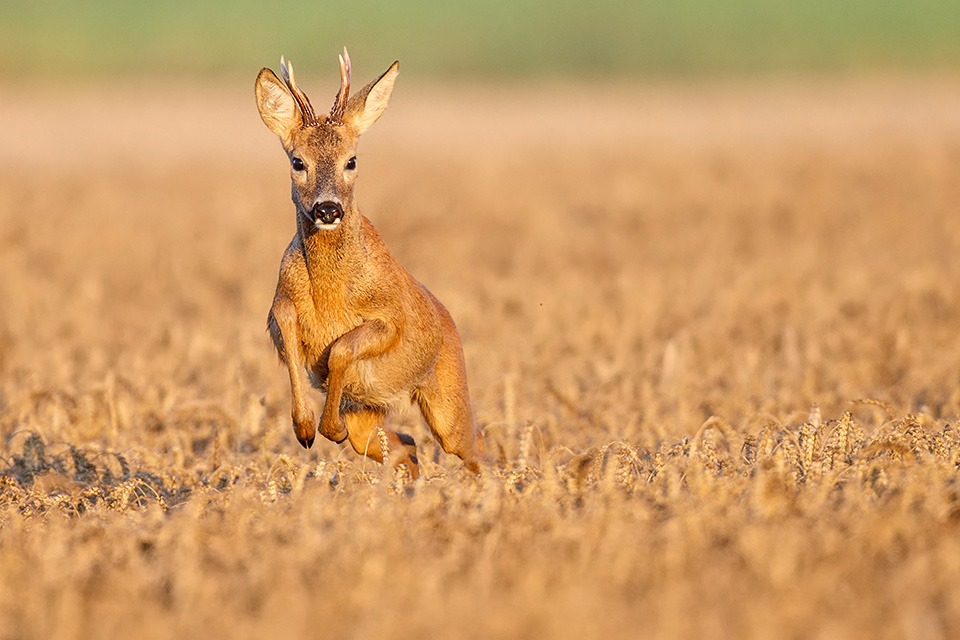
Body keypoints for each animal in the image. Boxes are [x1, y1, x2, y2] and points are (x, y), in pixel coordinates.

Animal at [255, 48, 484, 480]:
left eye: (352, 160)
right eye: (297, 161)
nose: (328, 208)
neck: (329, 295)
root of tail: (450, 323)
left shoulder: (391, 319)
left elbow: (342, 348)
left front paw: (327, 426)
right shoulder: (277, 307)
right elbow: (289, 325)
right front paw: (305, 429)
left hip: (448, 403)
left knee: (471, 442)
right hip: (367, 411)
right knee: (405, 444)